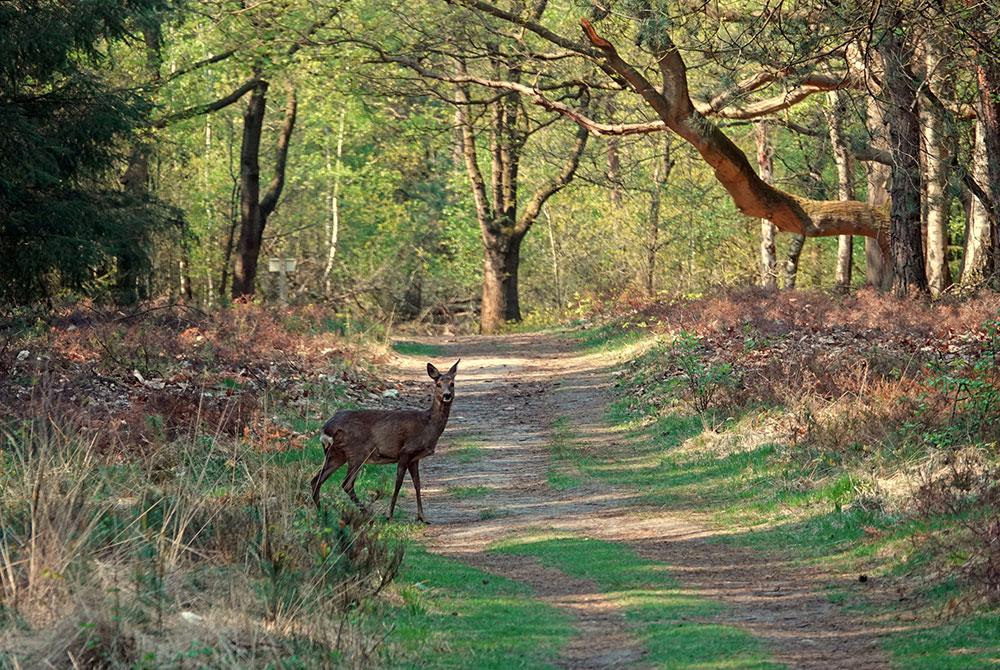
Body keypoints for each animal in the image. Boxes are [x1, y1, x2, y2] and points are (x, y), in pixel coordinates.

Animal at [308, 360, 460, 524]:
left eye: (452, 383)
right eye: (438, 384)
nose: (446, 395)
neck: (428, 425)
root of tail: (326, 430)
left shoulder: (414, 458)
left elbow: (417, 484)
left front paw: (422, 517)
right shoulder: (406, 451)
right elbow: (398, 484)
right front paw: (389, 515)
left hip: (336, 455)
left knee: (316, 480)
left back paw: (321, 513)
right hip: (357, 452)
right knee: (346, 483)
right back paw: (367, 513)